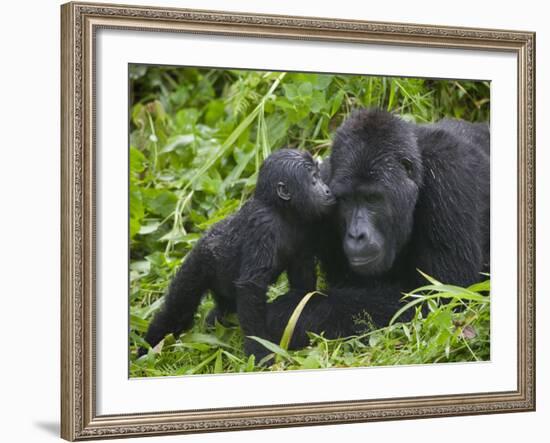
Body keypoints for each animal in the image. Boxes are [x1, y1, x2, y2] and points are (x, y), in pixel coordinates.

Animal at [138, 149, 336, 364]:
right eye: (314, 180)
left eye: (319, 176)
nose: (327, 190)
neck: (281, 210)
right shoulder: (263, 225)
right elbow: (251, 287)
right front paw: (259, 351)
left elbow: (302, 283)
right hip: (198, 262)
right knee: (177, 310)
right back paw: (148, 349)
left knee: (224, 308)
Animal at [268, 108, 492, 350]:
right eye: (346, 200)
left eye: (372, 198)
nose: (356, 235)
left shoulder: (449, 177)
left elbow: (441, 298)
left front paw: (287, 313)